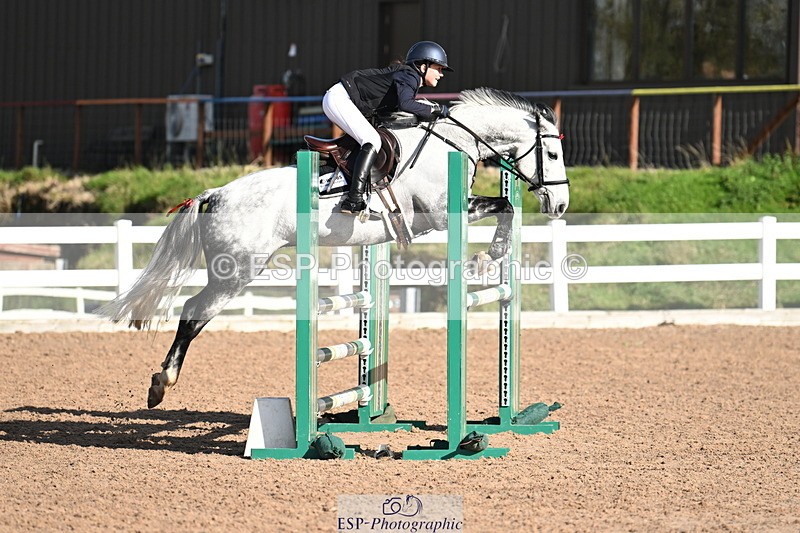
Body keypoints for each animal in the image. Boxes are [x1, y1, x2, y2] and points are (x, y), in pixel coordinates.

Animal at [98, 87, 570, 408]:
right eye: (551, 153)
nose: (561, 205)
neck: (452, 144)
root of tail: (215, 193)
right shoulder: (439, 216)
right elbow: (505, 205)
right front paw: (487, 256)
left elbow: (506, 206)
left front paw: (491, 255)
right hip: (237, 270)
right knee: (194, 312)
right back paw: (161, 384)